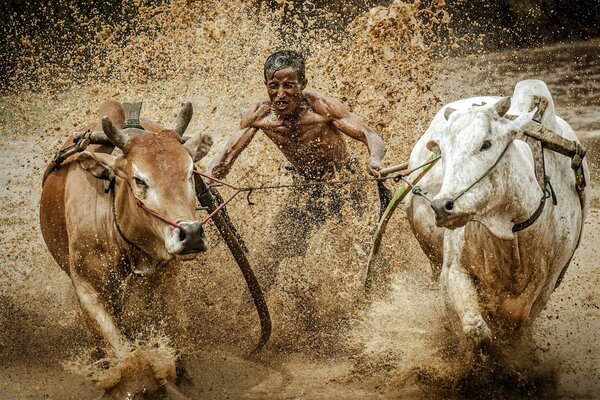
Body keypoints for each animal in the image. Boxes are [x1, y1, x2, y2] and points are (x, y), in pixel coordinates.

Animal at [38, 101, 212, 396]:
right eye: (139, 180)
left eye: (190, 173)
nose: (190, 234)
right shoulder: (87, 287)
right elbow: (121, 348)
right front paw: (129, 382)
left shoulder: (167, 277)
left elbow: (171, 329)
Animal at [406, 79, 588, 348]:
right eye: (443, 152)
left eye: (486, 144)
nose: (442, 206)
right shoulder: (452, 271)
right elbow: (475, 329)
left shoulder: (545, 287)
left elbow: (517, 321)